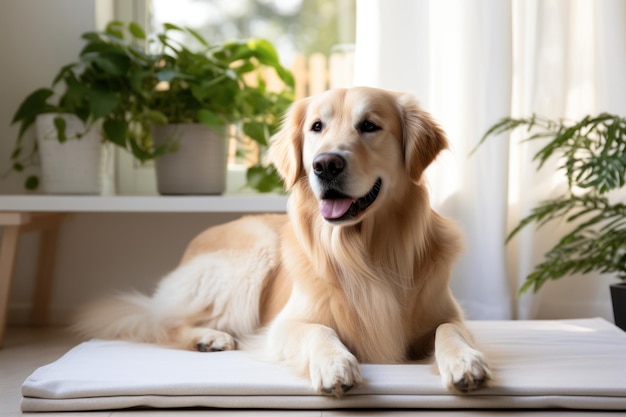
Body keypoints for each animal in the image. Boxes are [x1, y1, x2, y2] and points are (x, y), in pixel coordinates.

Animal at [75, 85, 490, 396]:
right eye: (317, 126)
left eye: (370, 126)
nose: (325, 164)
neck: (364, 252)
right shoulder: (284, 324)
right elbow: (319, 330)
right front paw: (335, 363)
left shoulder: (448, 313)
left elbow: (449, 329)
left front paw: (465, 361)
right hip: (250, 258)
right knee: (163, 323)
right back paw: (209, 337)